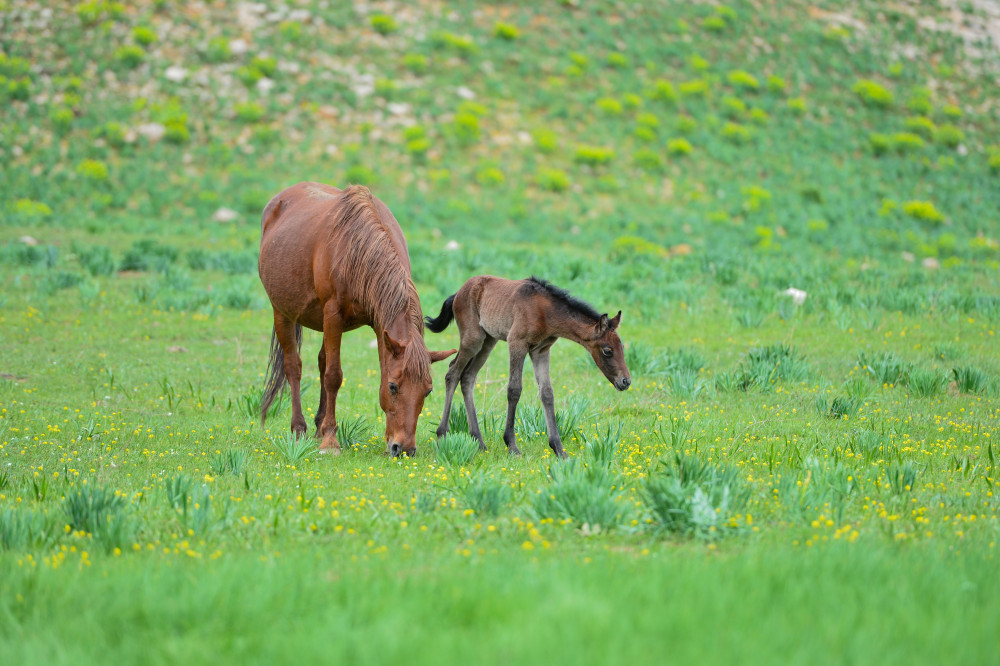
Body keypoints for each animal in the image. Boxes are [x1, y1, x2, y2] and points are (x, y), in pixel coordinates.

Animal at [260, 182, 458, 456]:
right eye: (393, 387)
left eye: (427, 391)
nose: (404, 449)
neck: (356, 248)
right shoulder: (332, 314)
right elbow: (333, 376)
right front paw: (330, 442)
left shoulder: (378, 323)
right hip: (283, 313)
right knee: (294, 367)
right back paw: (299, 429)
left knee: (320, 361)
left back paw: (319, 425)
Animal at [424, 274, 632, 456]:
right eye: (607, 351)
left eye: (622, 347)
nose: (625, 381)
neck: (545, 312)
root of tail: (459, 292)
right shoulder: (517, 343)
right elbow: (514, 390)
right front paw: (512, 445)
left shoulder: (541, 350)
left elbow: (547, 393)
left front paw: (558, 448)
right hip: (473, 339)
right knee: (452, 372)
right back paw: (442, 435)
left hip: (488, 341)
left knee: (467, 376)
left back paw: (479, 442)